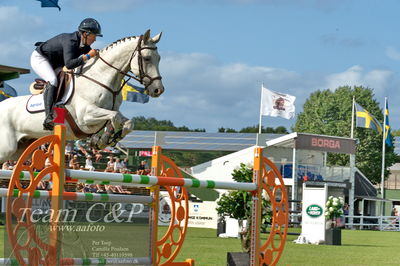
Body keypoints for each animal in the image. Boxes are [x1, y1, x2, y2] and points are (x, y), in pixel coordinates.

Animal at [0, 29, 164, 162]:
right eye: (147, 58)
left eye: (159, 58)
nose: (158, 90)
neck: (101, 78)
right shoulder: (85, 116)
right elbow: (114, 117)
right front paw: (103, 140)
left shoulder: (109, 112)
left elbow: (127, 122)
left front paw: (106, 139)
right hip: (6, 148)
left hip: (20, 148)